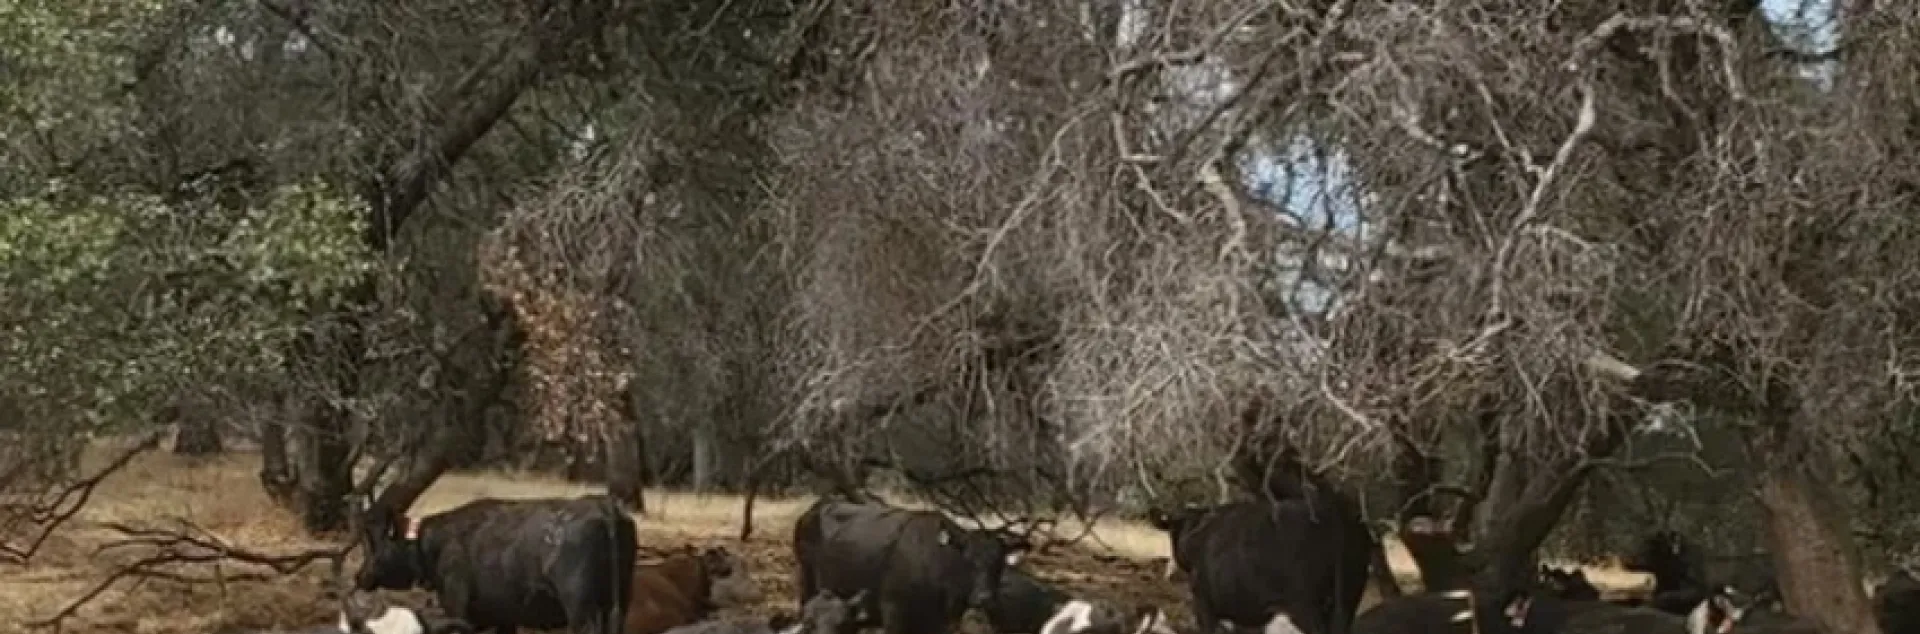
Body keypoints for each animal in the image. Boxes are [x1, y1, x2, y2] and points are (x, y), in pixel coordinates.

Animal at [352, 495, 637, 634]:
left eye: (376, 543)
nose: (359, 576)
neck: (432, 543)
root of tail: (606, 509)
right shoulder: (505, 619)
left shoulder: (457, 608)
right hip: (618, 604)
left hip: (582, 610)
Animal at [791, 498, 1034, 634]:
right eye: (968, 560)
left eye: (1000, 562)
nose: (985, 597)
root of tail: (816, 508)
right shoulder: (894, 613)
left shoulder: (940, 623)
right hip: (807, 584)